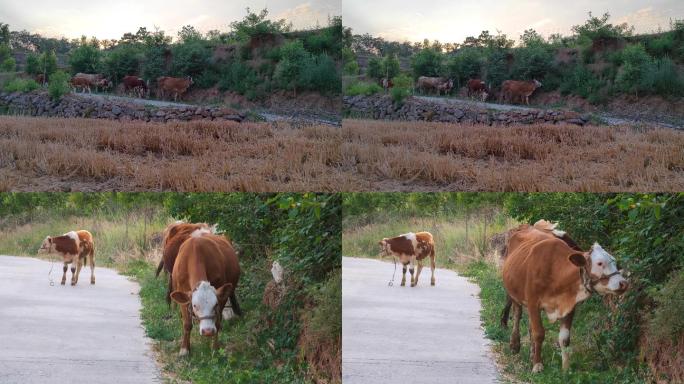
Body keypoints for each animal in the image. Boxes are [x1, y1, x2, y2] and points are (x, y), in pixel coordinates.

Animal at [500, 222, 628, 372]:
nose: (623, 283)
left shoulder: (570, 306)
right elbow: (539, 333)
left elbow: (564, 339)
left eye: (614, 262)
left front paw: (566, 369)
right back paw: (515, 345)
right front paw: (538, 365)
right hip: (515, 294)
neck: (555, 272)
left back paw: (531, 354)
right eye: (600, 263)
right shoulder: (533, 302)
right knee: (517, 315)